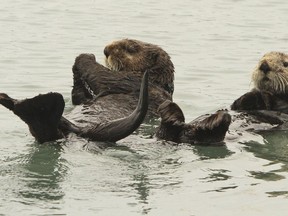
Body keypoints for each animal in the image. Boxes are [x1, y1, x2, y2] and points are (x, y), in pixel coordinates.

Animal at [0, 39, 231, 146]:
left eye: (131, 48)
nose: (105, 50)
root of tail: (83, 131)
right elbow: (80, 96)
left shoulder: (129, 81)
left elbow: (100, 74)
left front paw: (86, 56)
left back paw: (37, 106)